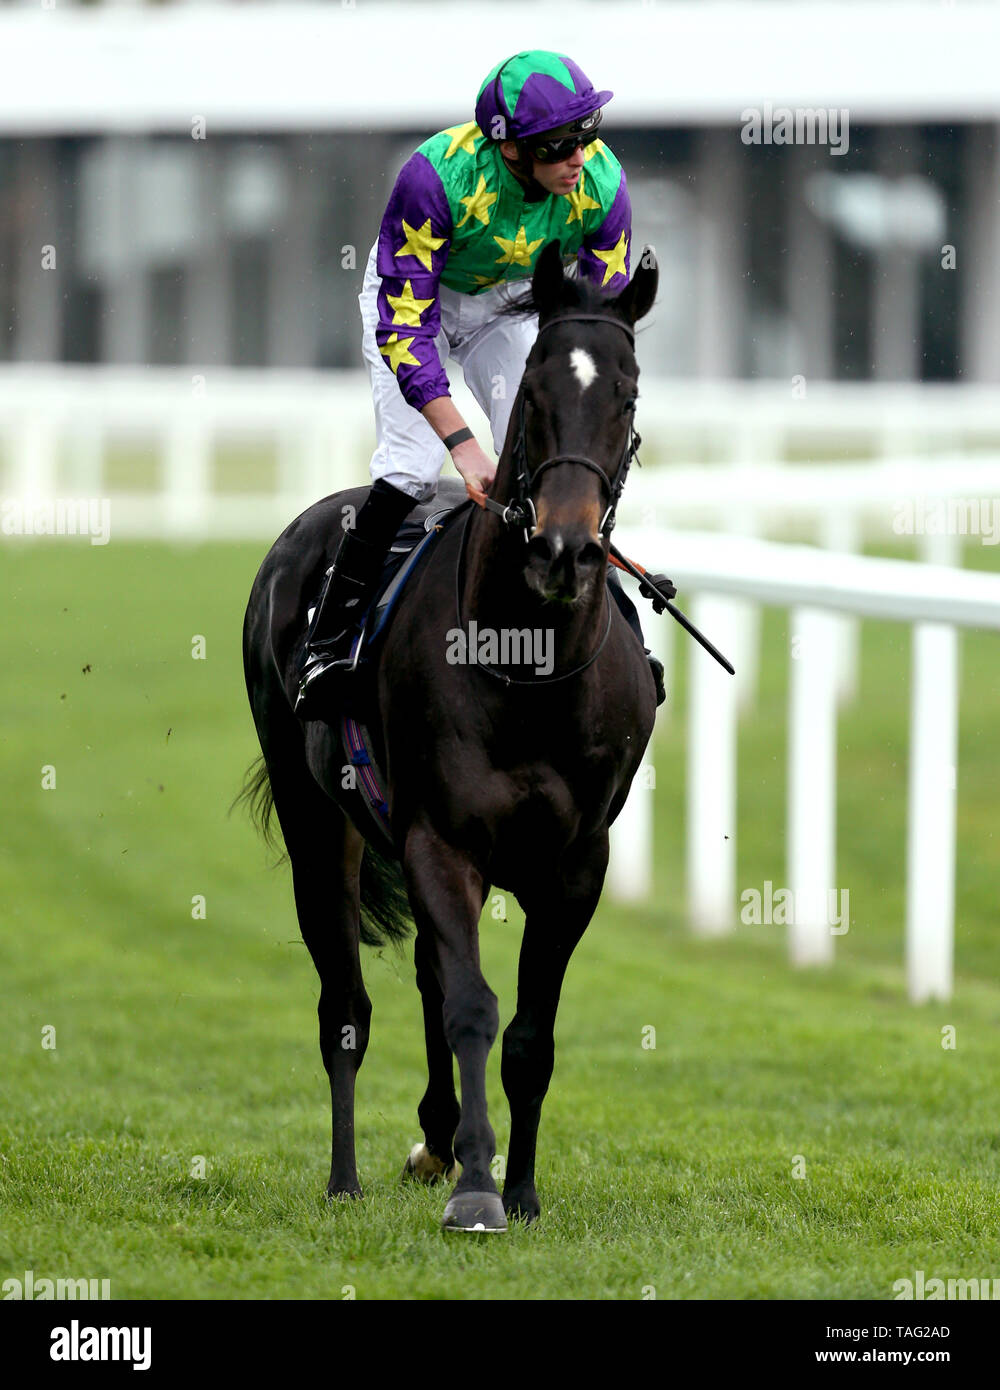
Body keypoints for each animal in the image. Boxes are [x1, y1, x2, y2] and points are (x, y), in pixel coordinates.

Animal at [239, 241, 662, 1239]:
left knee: (427, 974)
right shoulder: (443, 839)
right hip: (322, 825)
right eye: (535, 392)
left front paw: (521, 1188)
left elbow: (529, 1034)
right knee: (345, 1005)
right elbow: (474, 1005)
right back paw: (346, 1179)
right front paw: (477, 1190)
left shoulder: (576, 864)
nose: (563, 550)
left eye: (626, 395)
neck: (527, 666)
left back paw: (435, 1138)